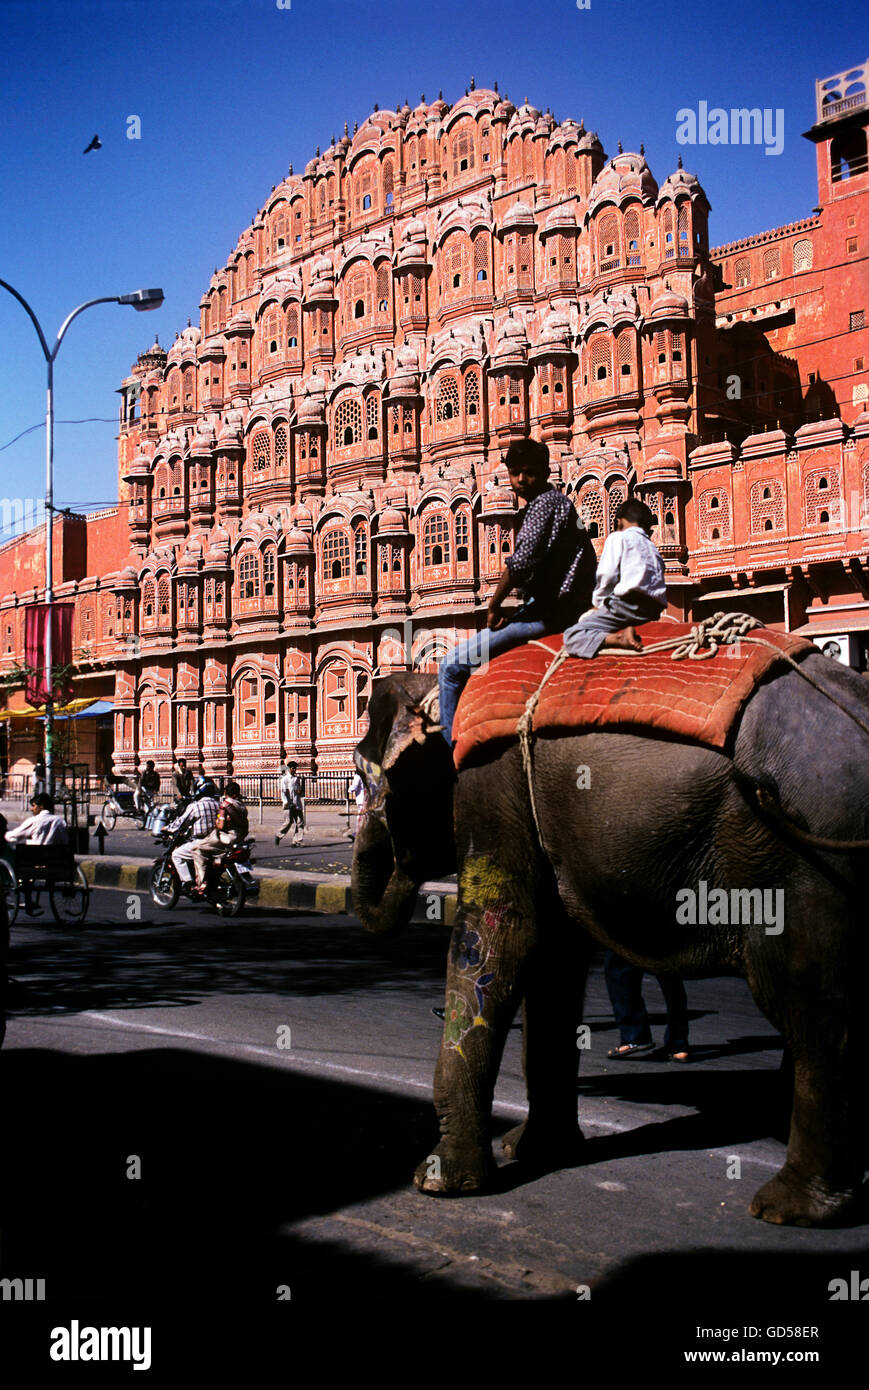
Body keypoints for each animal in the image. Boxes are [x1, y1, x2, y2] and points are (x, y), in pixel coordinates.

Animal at [350, 650, 867, 1228]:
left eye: (364, 774)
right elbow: (553, 957)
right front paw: (534, 1149)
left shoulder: (490, 786)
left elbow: (501, 938)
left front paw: (440, 1183)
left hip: (808, 866)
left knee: (813, 1010)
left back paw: (788, 1207)